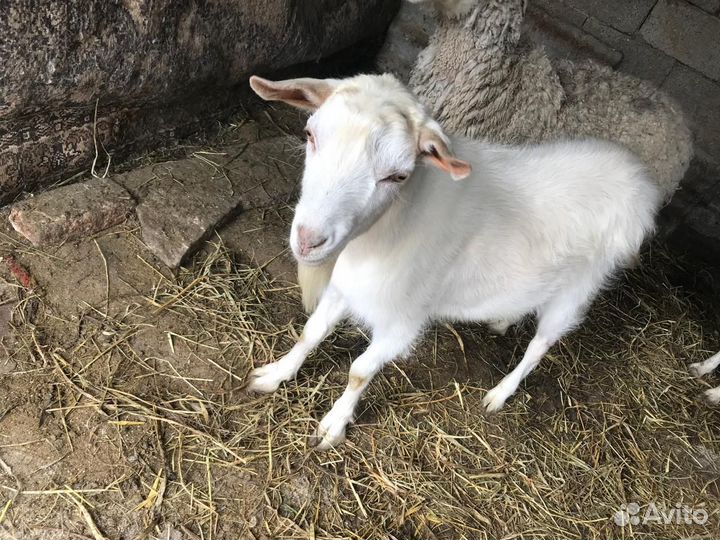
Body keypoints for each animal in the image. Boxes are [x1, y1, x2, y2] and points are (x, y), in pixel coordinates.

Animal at [247, 72, 661, 450]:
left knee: (539, 346)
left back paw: (500, 393)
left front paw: (333, 425)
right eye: (310, 135)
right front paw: (274, 374)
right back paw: (503, 319)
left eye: (397, 176)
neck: (386, 231)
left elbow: (359, 372)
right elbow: (310, 332)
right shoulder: (345, 288)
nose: (309, 240)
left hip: (578, 290)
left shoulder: (403, 321)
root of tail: (639, 181)